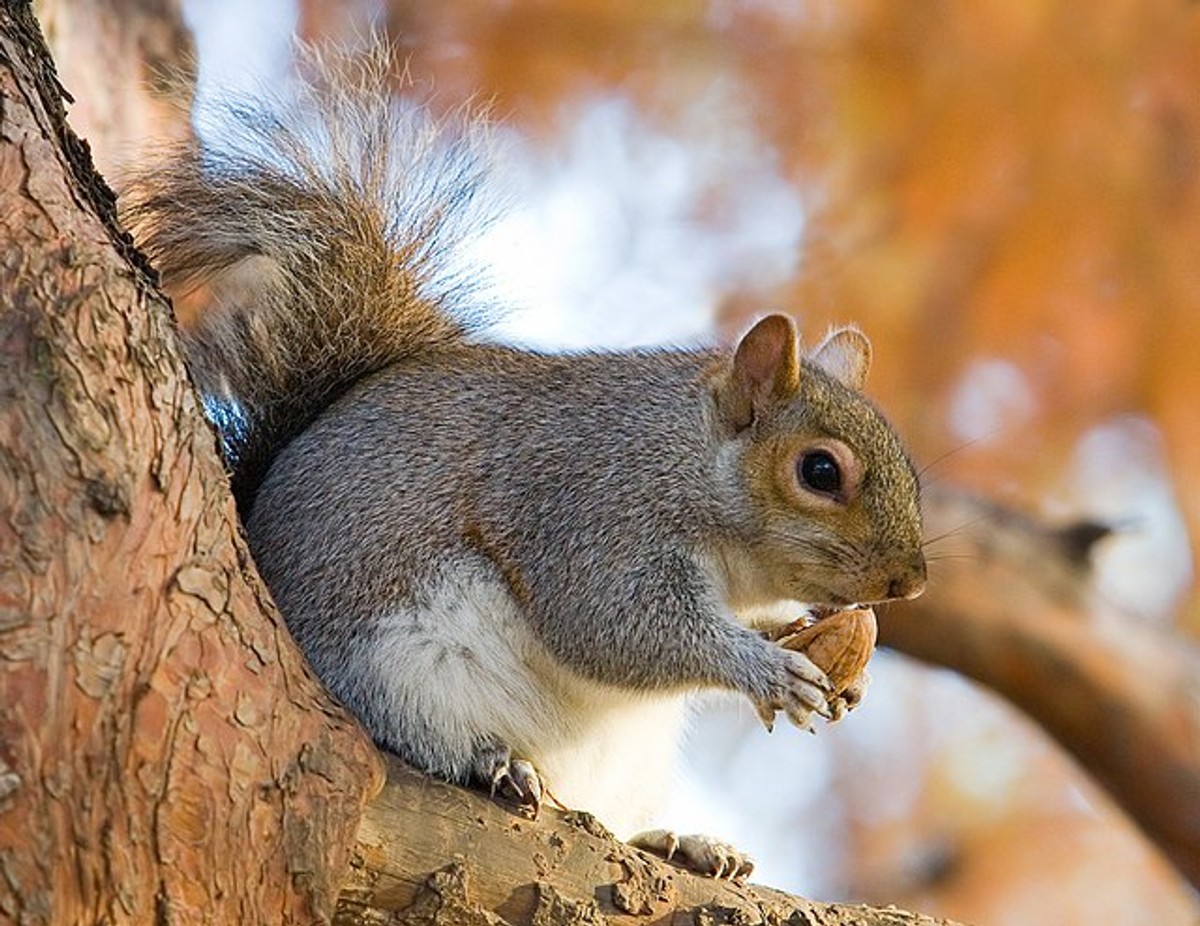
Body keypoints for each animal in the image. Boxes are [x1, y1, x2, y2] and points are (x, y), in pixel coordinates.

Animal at [122, 43, 926, 880]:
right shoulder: (591, 511)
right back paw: (493, 762)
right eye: (820, 472)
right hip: (396, 669)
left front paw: (821, 647)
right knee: (418, 734)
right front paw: (762, 668)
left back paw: (678, 841)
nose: (910, 582)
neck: (688, 465)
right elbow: (613, 625)